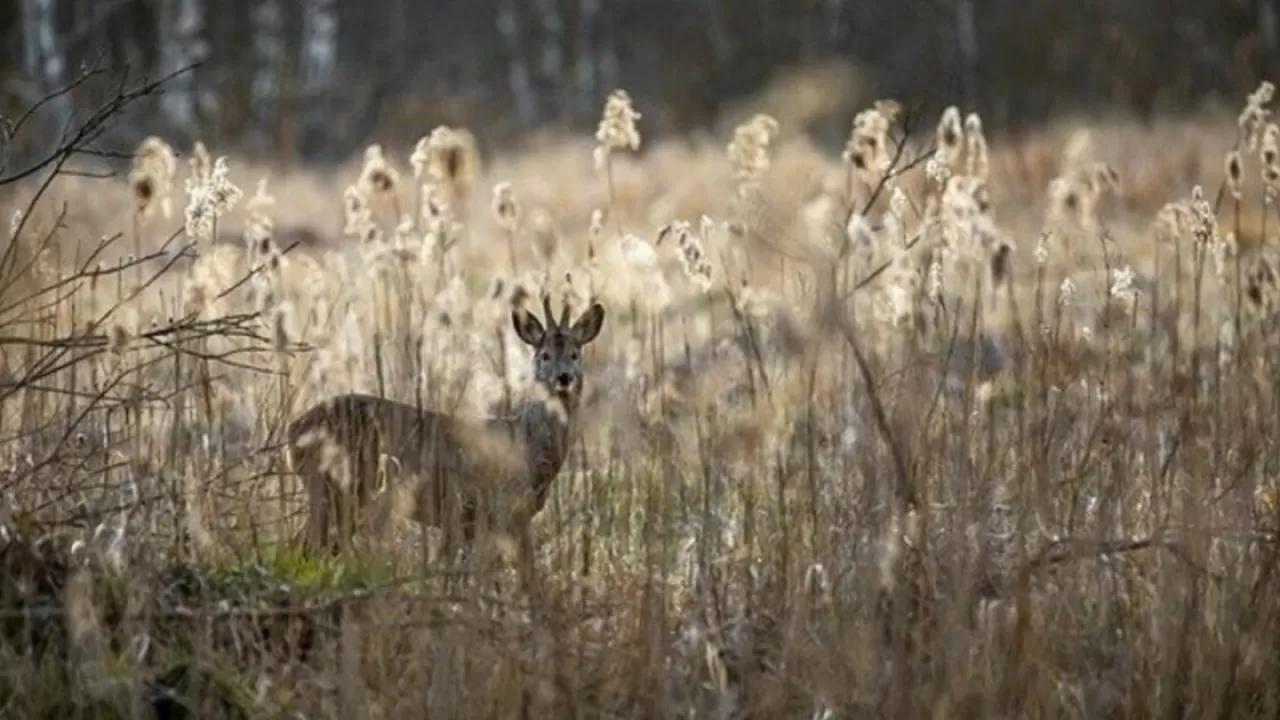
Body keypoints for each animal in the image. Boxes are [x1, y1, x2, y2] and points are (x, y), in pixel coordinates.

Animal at [285, 293, 604, 561]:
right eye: (544, 355)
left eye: (575, 353)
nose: (564, 377)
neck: (528, 442)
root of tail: (292, 431)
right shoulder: (496, 510)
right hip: (336, 488)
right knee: (303, 546)